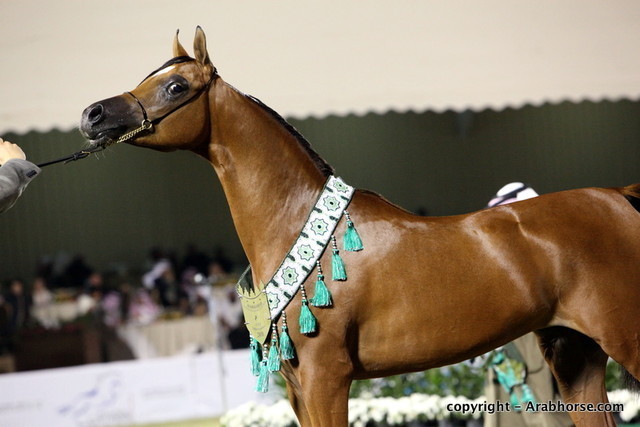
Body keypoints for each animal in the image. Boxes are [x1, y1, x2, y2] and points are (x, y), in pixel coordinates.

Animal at [79, 27, 640, 426]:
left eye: (175, 85)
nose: (92, 114)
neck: (299, 227)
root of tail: (618, 196)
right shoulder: (299, 389)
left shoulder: (328, 379)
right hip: (576, 355)